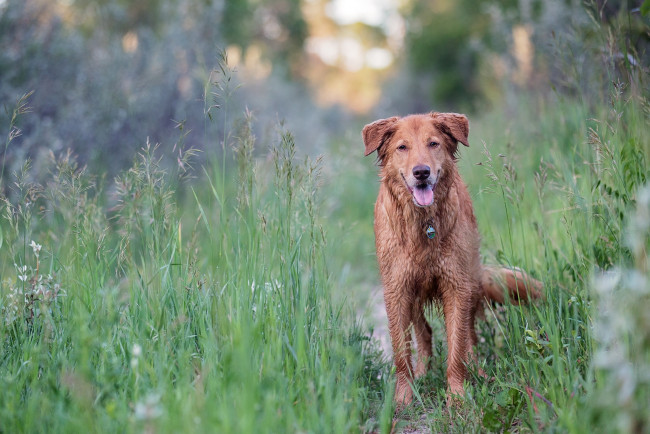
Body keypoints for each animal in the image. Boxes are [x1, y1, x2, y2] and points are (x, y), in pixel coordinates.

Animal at [362, 111, 540, 406]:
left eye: (433, 143)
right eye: (402, 147)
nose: (421, 172)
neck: (424, 224)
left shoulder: (456, 285)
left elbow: (457, 344)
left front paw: (457, 395)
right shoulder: (397, 289)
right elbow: (401, 351)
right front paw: (403, 397)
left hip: (470, 280)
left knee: (469, 335)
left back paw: (477, 369)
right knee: (424, 332)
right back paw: (423, 372)